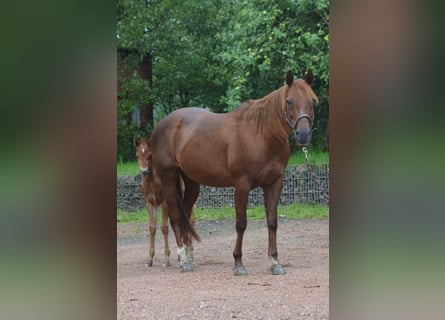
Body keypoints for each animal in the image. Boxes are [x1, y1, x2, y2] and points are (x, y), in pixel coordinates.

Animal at [134, 138, 196, 268]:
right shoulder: (150, 203)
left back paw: (190, 253)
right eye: (137, 156)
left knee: (191, 220)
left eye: (150, 156)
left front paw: (167, 259)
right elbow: (152, 228)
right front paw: (150, 259)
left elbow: (164, 228)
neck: (152, 181)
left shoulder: (164, 203)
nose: (144, 172)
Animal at [149, 70, 316, 276]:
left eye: (312, 101)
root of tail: (162, 125)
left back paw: (187, 257)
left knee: (185, 215)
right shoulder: (242, 185)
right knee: (175, 216)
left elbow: (272, 221)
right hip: (169, 177)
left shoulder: (275, 182)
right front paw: (238, 263)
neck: (261, 134)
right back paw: (183, 259)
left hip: (191, 182)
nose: (303, 135)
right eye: (289, 101)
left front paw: (275, 262)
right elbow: (241, 223)